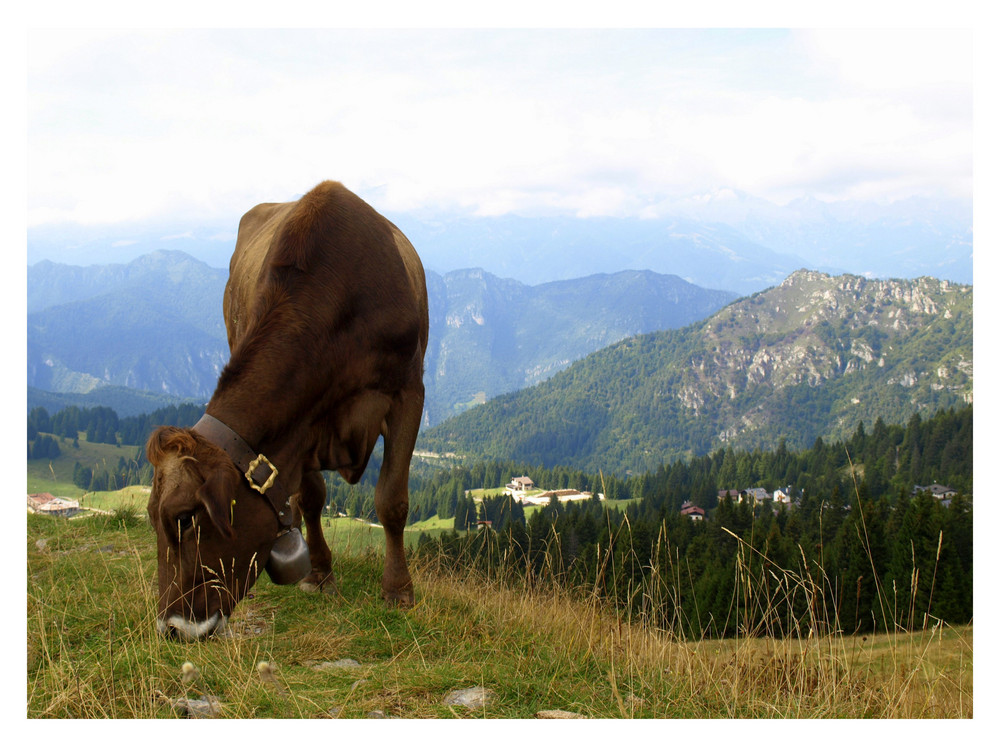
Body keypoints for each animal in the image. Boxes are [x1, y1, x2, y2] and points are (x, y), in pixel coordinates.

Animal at [145, 183, 426, 644]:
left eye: (185, 518)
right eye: (150, 517)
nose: (171, 627)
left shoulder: (408, 391)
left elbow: (392, 501)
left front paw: (398, 590)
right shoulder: (301, 425)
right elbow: (310, 498)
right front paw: (320, 573)